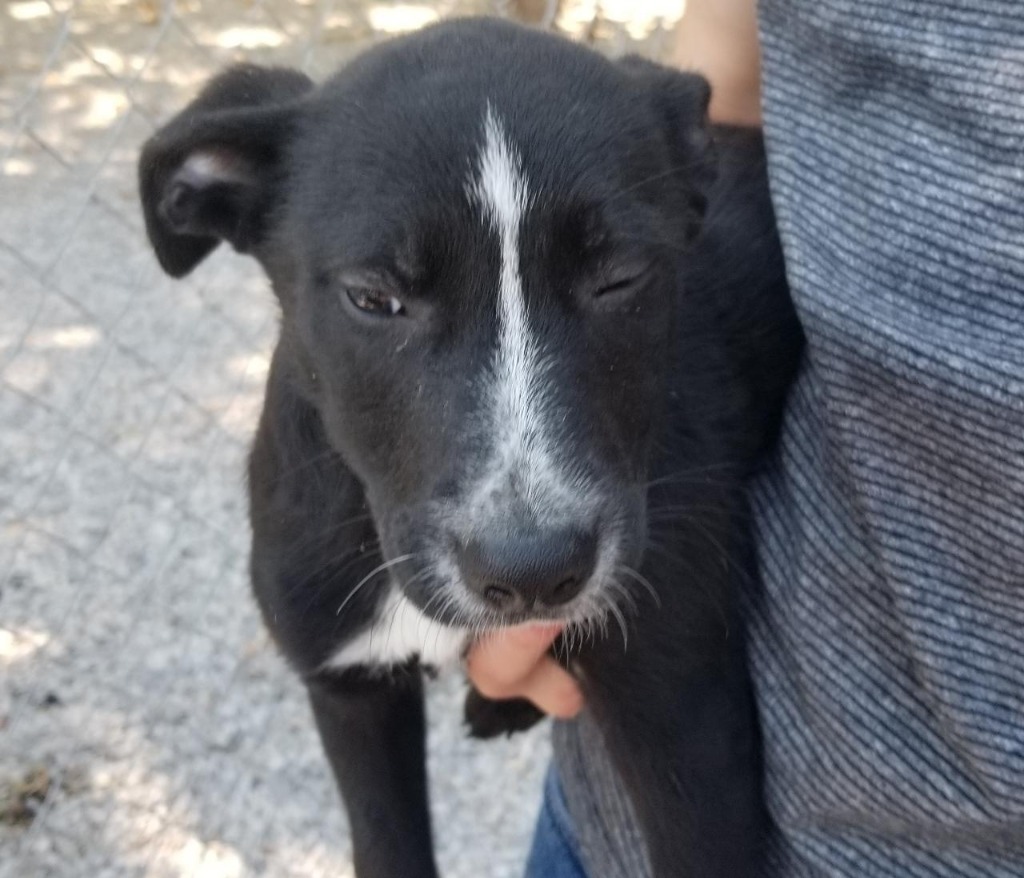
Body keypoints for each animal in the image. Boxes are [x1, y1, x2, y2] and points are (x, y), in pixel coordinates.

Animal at [140, 20, 802, 876]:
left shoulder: (685, 717)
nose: (533, 573)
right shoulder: (348, 684)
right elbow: (386, 845)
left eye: (621, 278)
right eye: (374, 298)